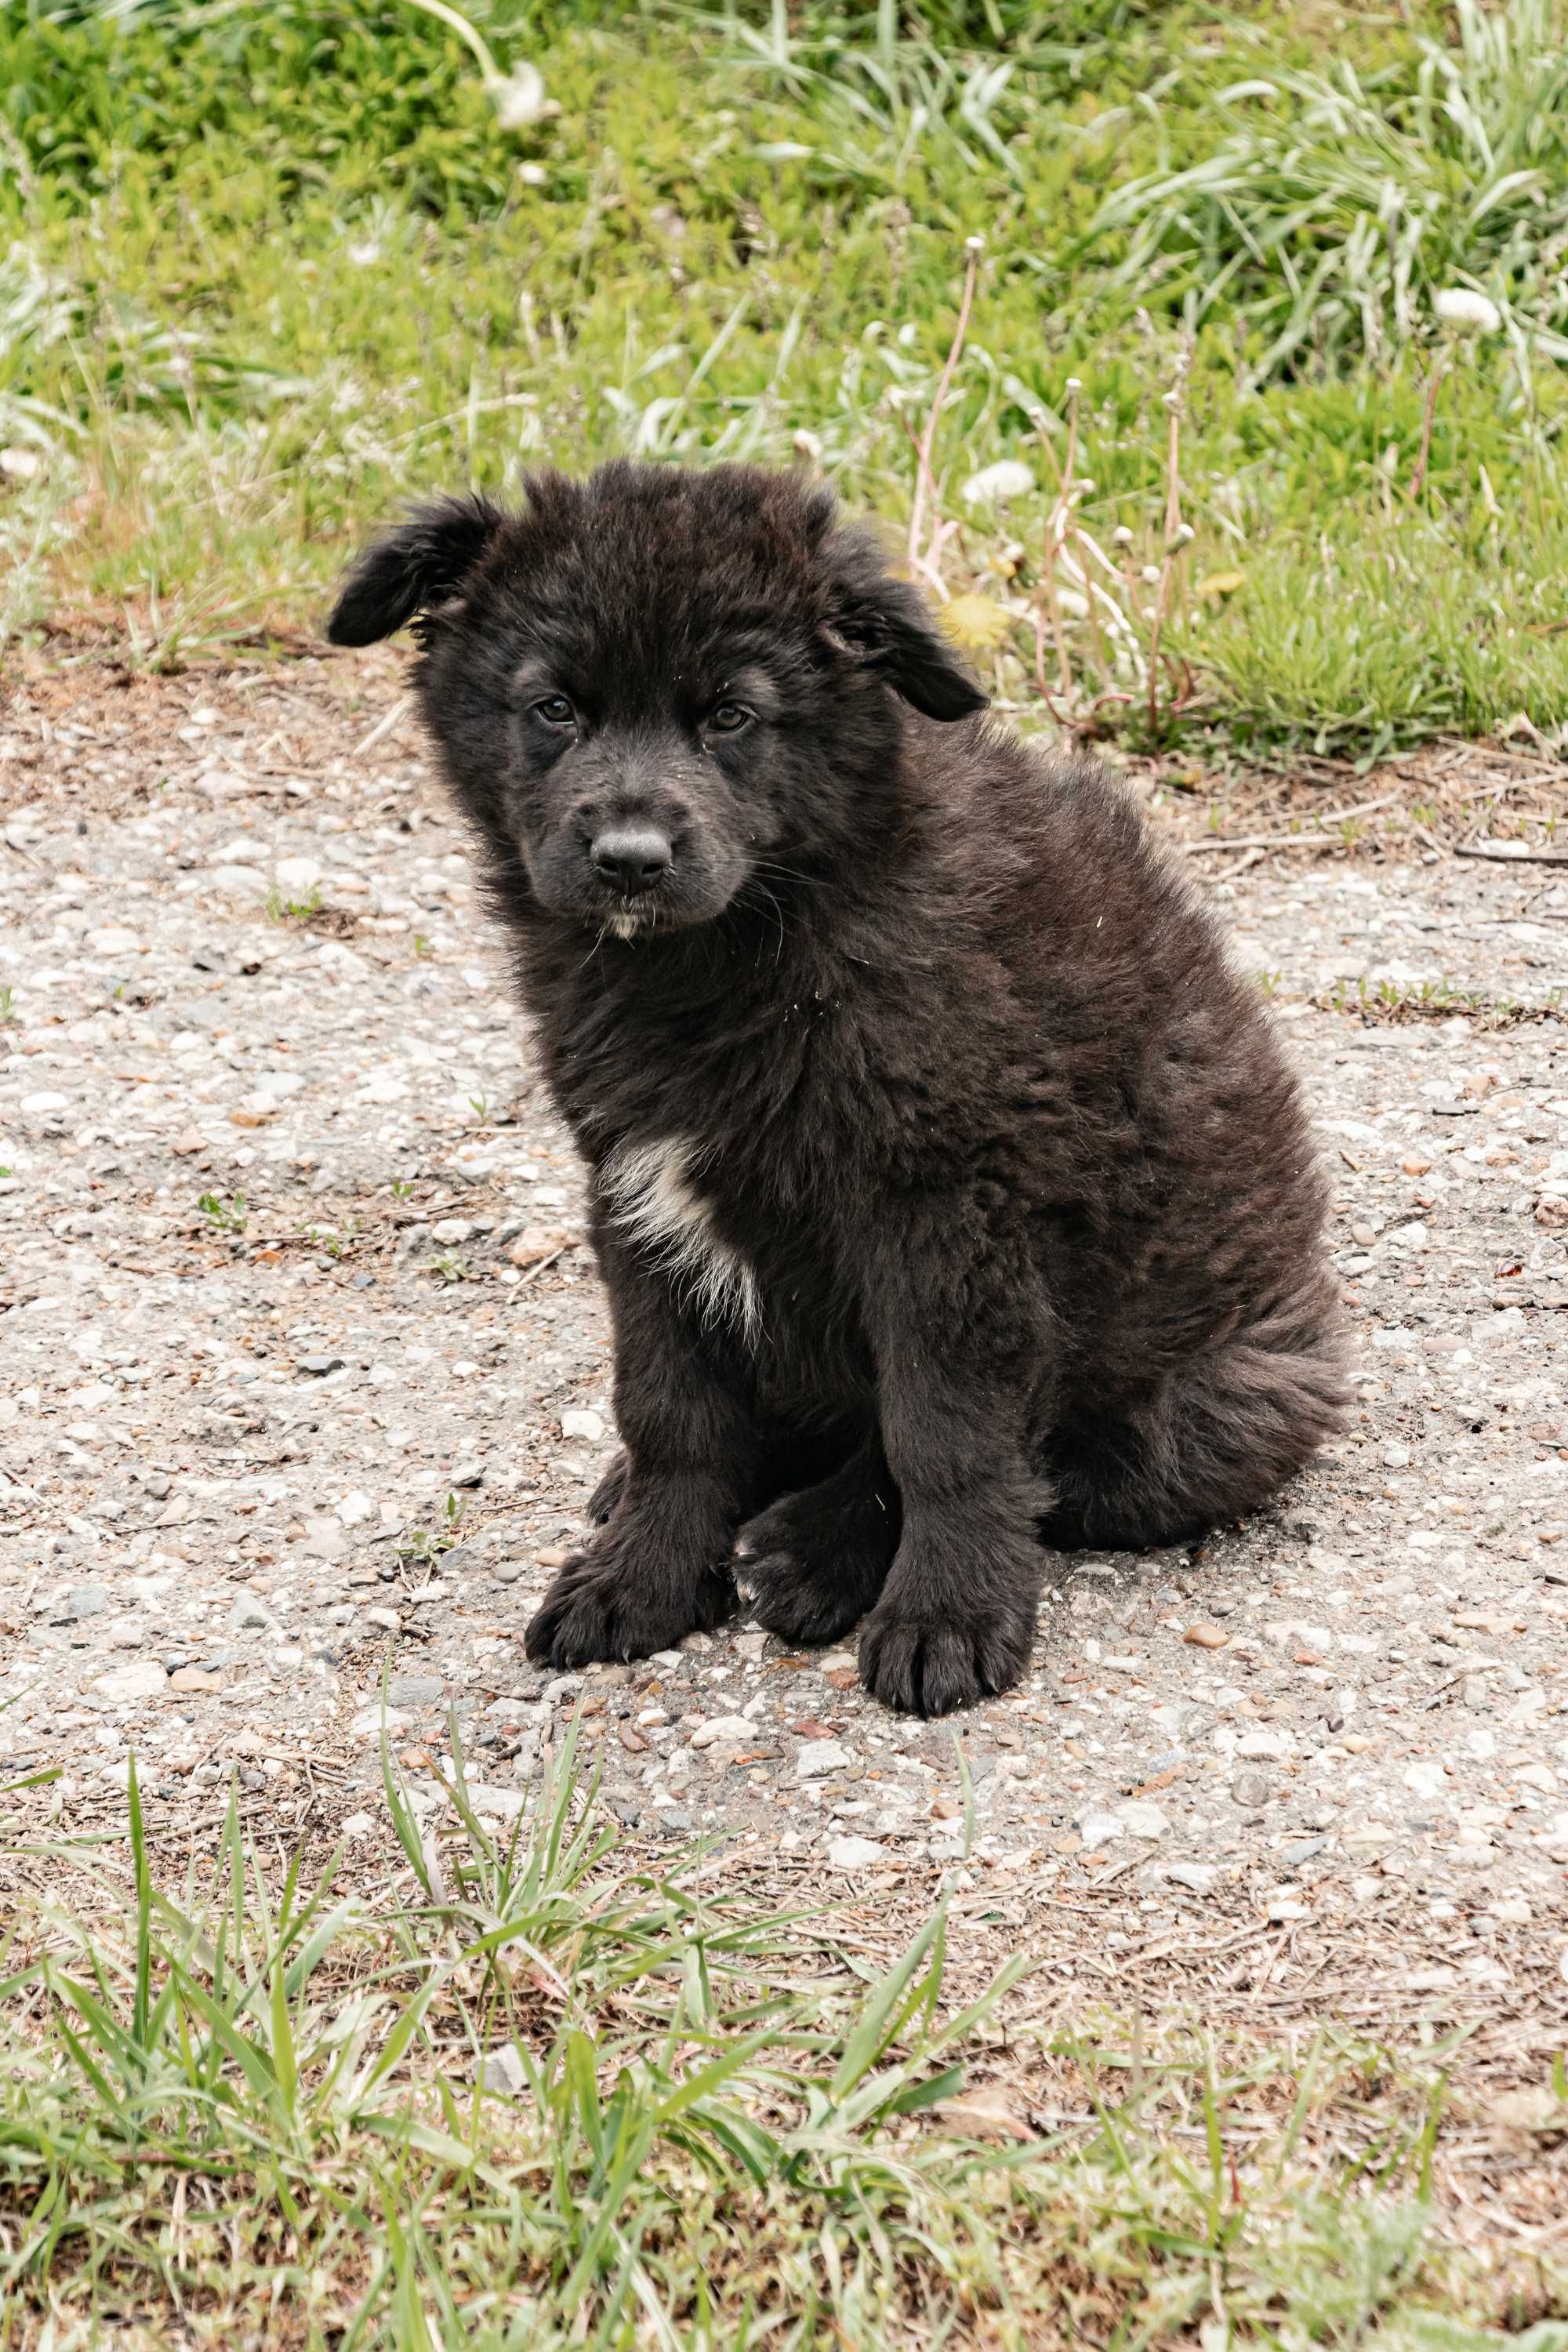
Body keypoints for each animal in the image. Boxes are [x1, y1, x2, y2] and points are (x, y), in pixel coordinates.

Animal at [331, 459, 1354, 1722]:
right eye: (555, 708)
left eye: (731, 715)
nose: (629, 859)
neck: (763, 937)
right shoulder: (635, 1193)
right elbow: (670, 1410)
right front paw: (645, 1575)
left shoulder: (949, 1214)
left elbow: (944, 1439)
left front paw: (947, 1614)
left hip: (1211, 1403)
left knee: (1040, 1460)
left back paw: (814, 1550)